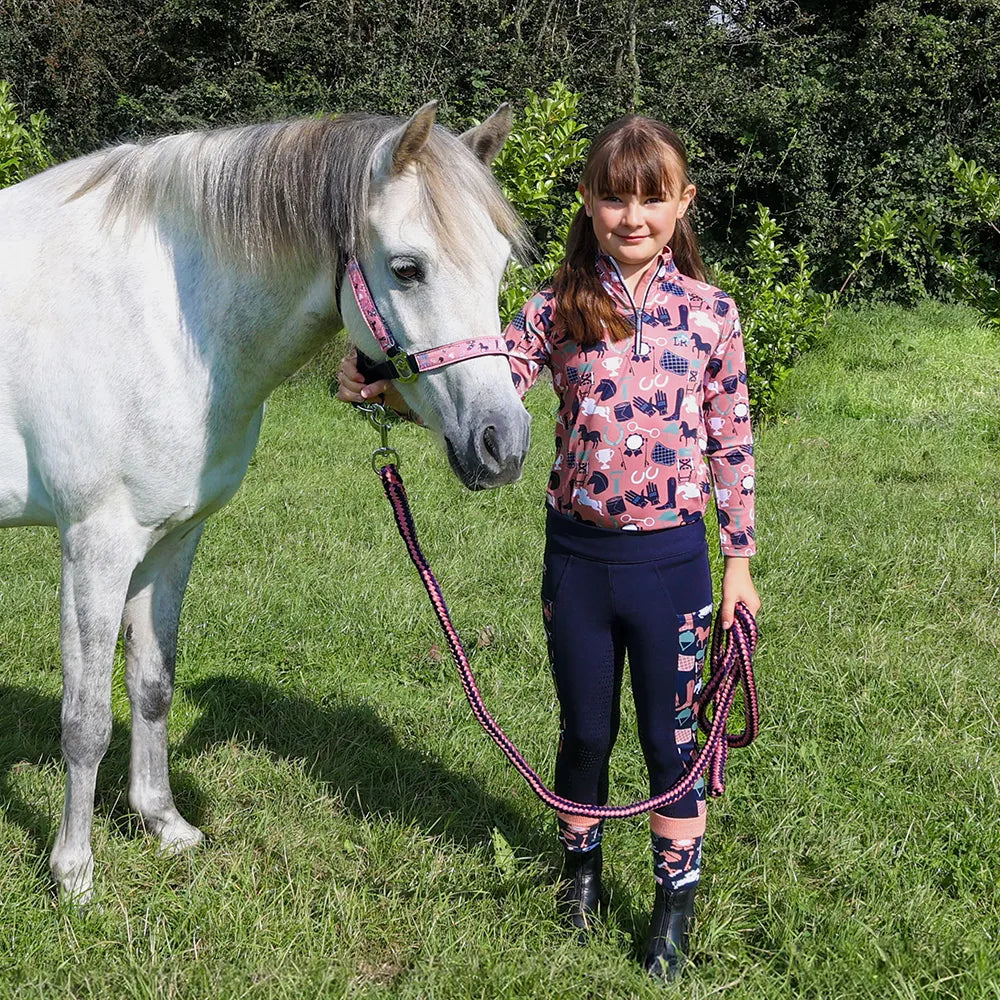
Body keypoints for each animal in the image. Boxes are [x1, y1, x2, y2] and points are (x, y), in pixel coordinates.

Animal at [0, 101, 532, 903]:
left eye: (500, 266)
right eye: (407, 268)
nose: (504, 444)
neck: (160, 318)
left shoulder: (171, 540)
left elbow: (152, 685)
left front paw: (165, 826)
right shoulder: (95, 546)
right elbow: (85, 721)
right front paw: (75, 875)